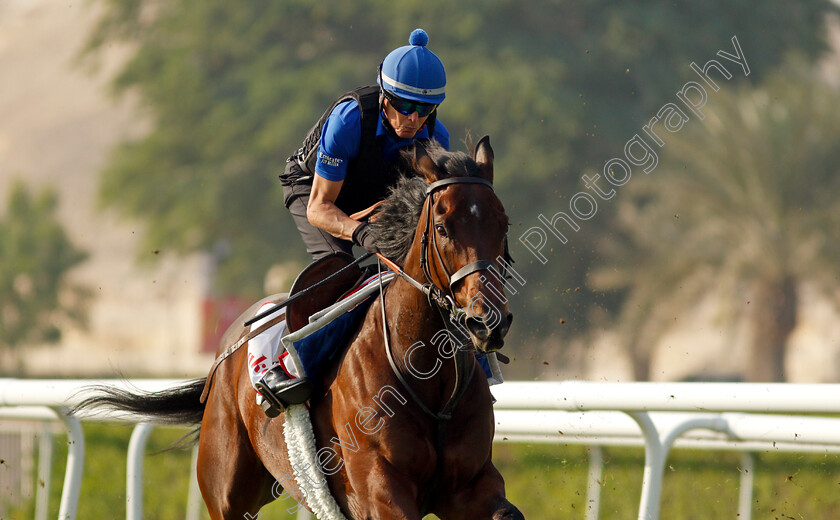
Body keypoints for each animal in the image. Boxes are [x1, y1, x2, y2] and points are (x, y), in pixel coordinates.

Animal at [82, 136, 520, 516]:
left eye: (503, 224)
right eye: (442, 228)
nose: (488, 322)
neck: (429, 376)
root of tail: (226, 349)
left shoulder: (474, 487)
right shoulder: (380, 492)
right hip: (227, 490)